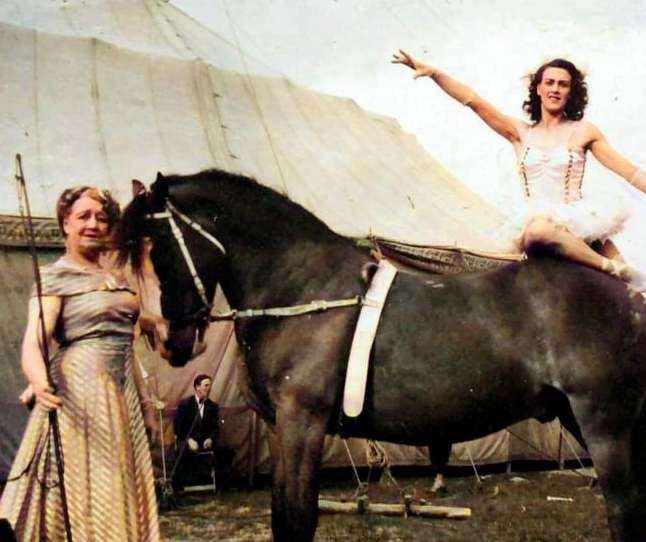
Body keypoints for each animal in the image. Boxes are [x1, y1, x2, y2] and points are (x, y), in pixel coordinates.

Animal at [119, 169, 646, 540]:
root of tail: (632, 294)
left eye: (156, 247)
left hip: (604, 424)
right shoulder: (279, 427)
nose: (165, 338)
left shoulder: (303, 423)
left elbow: (297, 520)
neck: (302, 290)